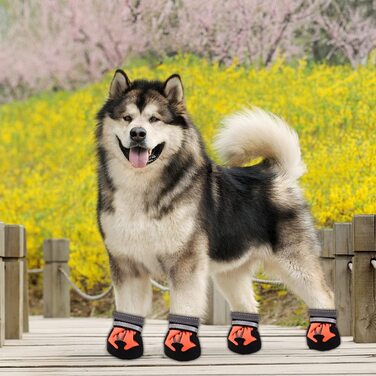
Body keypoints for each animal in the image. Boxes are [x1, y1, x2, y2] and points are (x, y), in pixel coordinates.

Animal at [94, 70, 340, 362]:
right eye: (127, 118)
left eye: (154, 119)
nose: (138, 133)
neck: (141, 190)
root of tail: (273, 173)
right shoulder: (126, 262)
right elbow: (128, 311)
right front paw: (124, 346)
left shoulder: (185, 262)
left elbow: (185, 307)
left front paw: (180, 347)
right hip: (230, 271)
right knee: (248, 305)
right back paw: (244, 343)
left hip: (296, 264)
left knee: (325, 295)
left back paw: (324, 338)